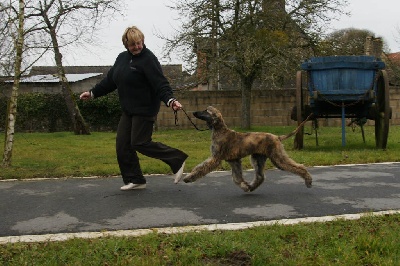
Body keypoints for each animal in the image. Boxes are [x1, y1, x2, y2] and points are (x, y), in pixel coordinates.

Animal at [176, 105, 312, 192]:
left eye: (206, 111)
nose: (194, 112)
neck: (220, 131)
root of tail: (277, 137)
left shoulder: (216, 158)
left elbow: (201, 168)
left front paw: (188, 178)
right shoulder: (233, 160)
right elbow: (237, 178)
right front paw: (245, 186)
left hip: (277, 157)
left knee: (299, 167)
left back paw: (308, 180)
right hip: (258, 158)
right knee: (260, 176)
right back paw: (251, 187)